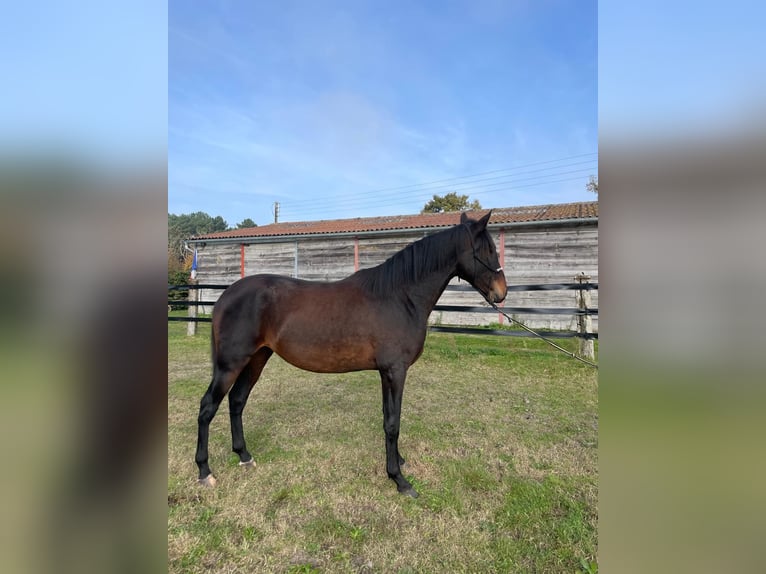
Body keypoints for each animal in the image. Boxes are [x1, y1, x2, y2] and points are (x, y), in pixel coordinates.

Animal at [196, 213, 510, 500]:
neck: (400, 297)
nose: (501, 292)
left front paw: (398, 461)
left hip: (257, 358)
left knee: (237, 401)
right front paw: (399, 479)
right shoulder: (396, 370)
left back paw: (244, 456)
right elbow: (393, 423)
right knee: (208, 407)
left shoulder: (386, 372)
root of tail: (225, 296)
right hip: (230, 364)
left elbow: (388, 417)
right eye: (487, 249)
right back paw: (205, 472)